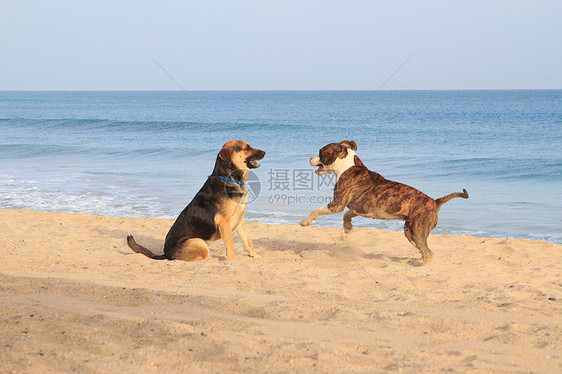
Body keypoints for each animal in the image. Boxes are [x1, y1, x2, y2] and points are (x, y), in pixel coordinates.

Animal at [126, 142, 264, 262]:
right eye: (247, 148)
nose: (264, 152)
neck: (229, 179)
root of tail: (166, 253)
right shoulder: (224, 222)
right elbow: (230, 246)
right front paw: (231, 261)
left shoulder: (240, 219)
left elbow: (248, 241)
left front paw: (255, 256)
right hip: (199, 242)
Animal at [300, 139, 466, 264]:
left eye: (321, 152)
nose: (309, 158)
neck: (347, 166)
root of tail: (435, 202)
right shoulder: (357, 208)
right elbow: (347, 215)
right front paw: (347, 228)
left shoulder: (337, 204)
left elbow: (317, 210)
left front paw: (306, 222)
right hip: (410, 232)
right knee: (427, 251)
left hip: (417, 231)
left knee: (427, 252)